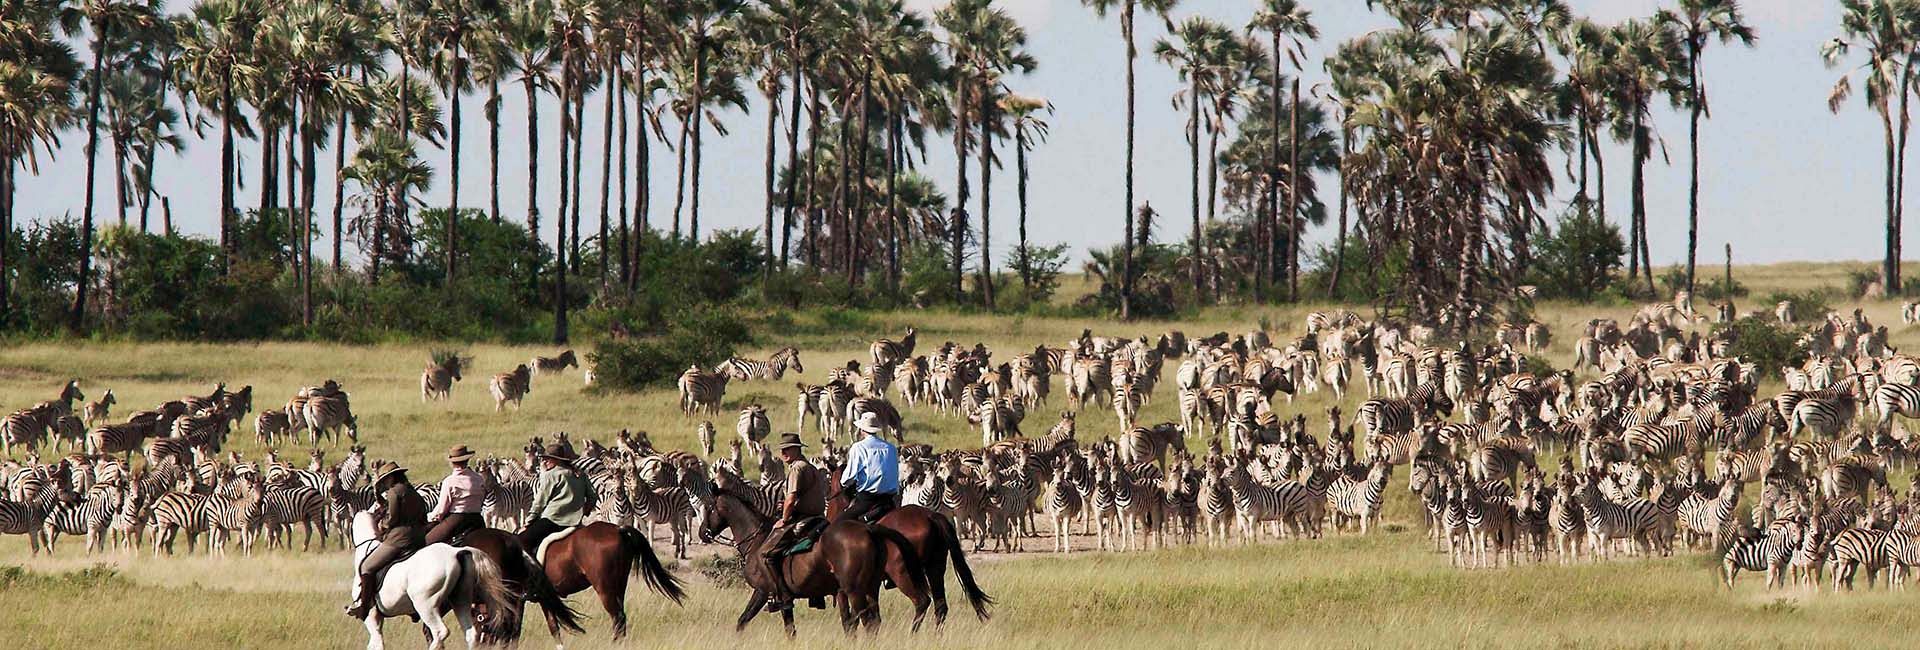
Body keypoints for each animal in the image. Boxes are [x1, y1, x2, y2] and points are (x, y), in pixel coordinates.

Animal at [349, 513, 522, 650]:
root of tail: (457, 552)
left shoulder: (372, 616)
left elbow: (376, 644)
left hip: (426, 606)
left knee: (440, 632)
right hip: (461, 602)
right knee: (474, 634)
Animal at [702, 490, 933, 640]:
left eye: (709, 507)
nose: (702, 532)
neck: (757, 540)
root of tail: (868, 529)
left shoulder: (764, 591)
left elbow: (746, 620)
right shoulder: (782, 598)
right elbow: (780, 627)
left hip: (866, 587)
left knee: (896, 611)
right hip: (870, 588)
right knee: (874, 622)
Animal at [825, 471, 998, 625]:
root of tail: (931, 516)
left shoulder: (844, 589)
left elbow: (848, 618)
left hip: (903, 574)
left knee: (922, 602)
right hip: (934, 569)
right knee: (940, 606)